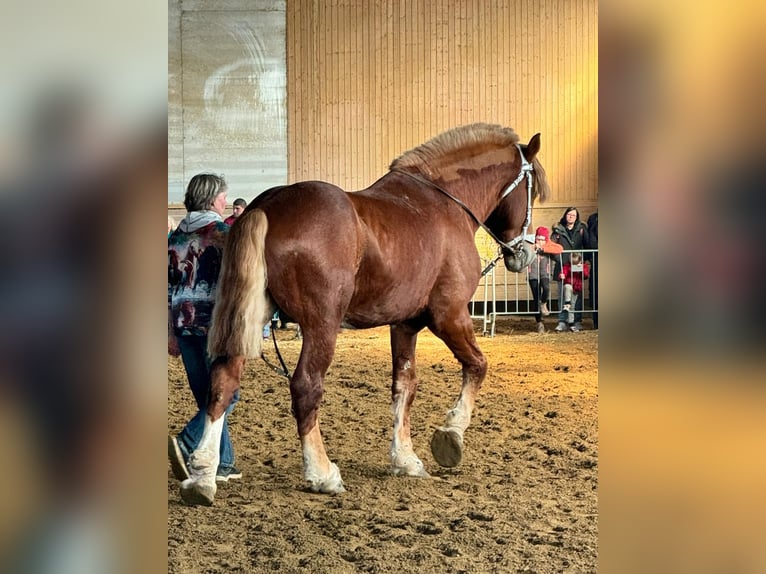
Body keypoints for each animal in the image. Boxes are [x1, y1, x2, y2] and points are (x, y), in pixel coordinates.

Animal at [178, 123, 550, 505]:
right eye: (532, 189)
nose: (526, 253)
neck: (446, 202)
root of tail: (268, 205)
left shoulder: (405, 324)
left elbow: (404, 386)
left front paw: (405, 459)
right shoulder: (449, 315)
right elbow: (477, 365)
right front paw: (450, 435)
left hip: (249, 319)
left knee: (223, 382)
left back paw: (202, 476)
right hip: (322, 324)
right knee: (305, 387)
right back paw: (322, 473)